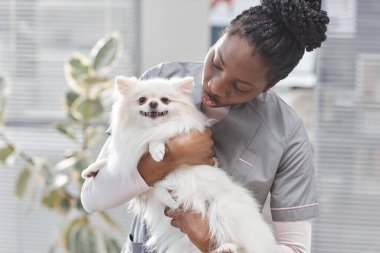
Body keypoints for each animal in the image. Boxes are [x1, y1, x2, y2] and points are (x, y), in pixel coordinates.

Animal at [81, 76, 274, 253]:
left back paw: (228, 247)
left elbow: (158, 138)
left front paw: (157, 150)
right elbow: (111, 161)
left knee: (240, 243)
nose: (153, 103)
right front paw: (92, 169)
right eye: (142, 99)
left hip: (223, 209)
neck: (148, 129)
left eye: (165, 100)